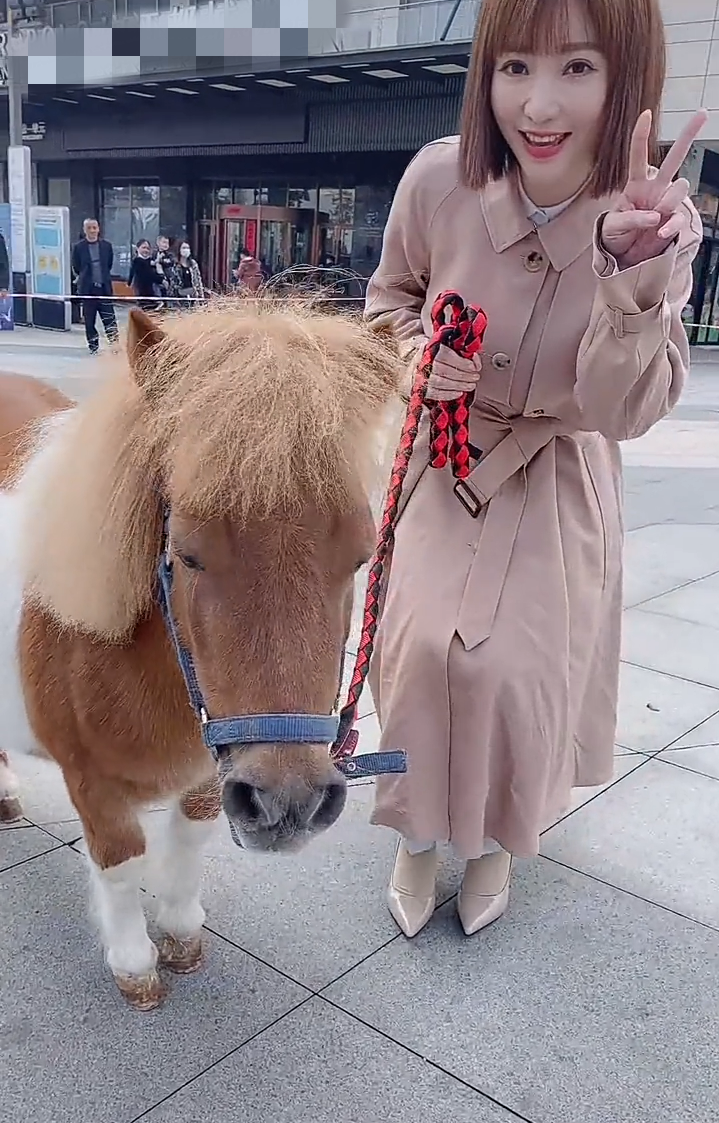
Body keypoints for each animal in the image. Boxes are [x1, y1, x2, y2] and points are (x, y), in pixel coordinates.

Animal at [0, 298, 404, 1010]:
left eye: (360, 557)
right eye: (186, 553)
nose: (291, 803)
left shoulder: (212, 771)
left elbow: (189, 840)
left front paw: (182, 931)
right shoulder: (91, 785)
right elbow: (121, 862)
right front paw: (135, 965)